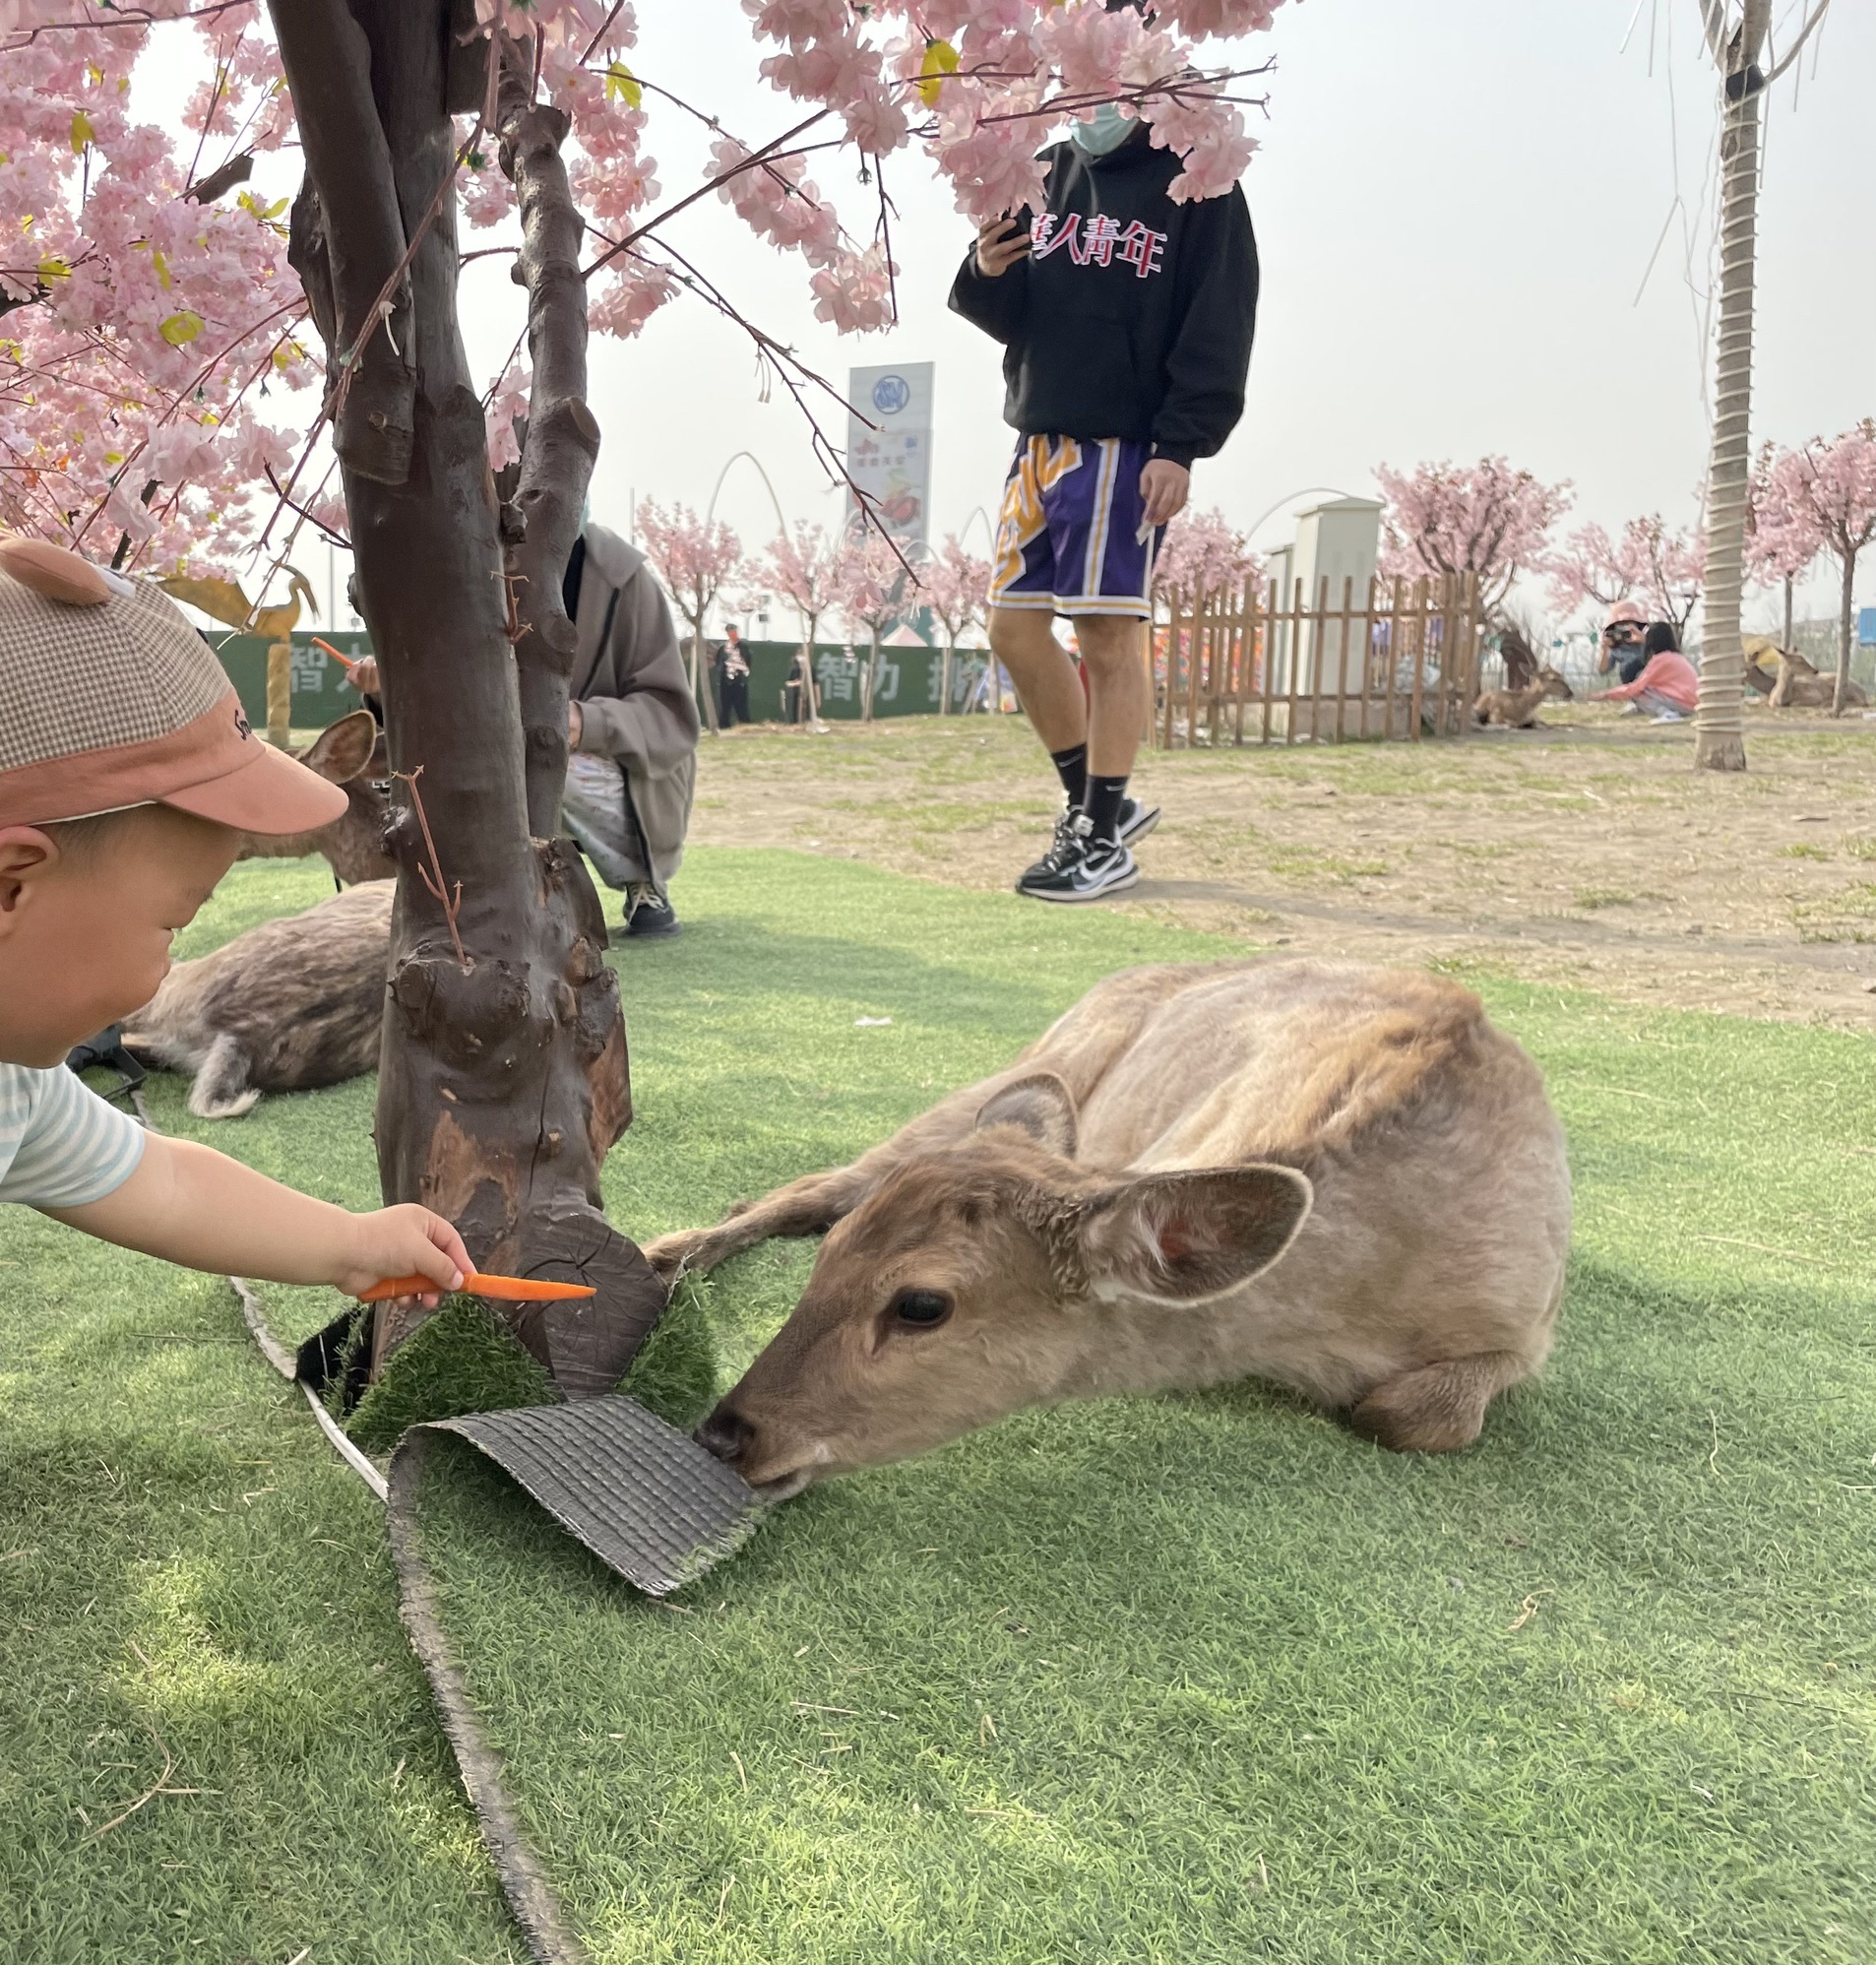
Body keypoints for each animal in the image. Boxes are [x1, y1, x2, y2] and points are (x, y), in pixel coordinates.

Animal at [646, 959, 1573, 1500]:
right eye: (827, 1265)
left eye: (921, 1305)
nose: (724, 1431)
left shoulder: (1529, 1329)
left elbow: (1421, 1414)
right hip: (1035, 1061)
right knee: (823, 1182)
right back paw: (666, 1253)